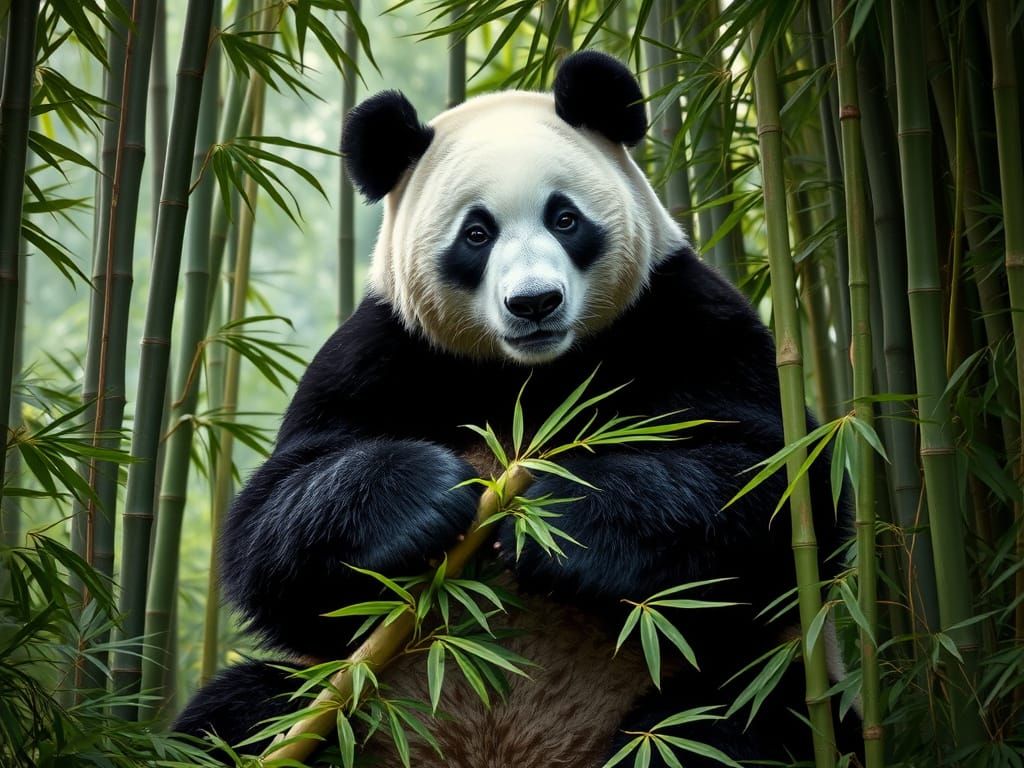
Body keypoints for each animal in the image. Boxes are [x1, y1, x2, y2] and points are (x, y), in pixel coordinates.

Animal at [175, 51, 848, 766]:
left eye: (565, 218)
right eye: (477, 233)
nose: (534, 303)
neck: (533, 374)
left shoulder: (686, 318)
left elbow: (775, 484)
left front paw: (557, 517)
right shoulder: (384, 353)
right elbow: (271, 528)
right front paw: (429, 495)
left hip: (719, 693)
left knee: (732, 726)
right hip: (340, 709)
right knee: (237, 716)